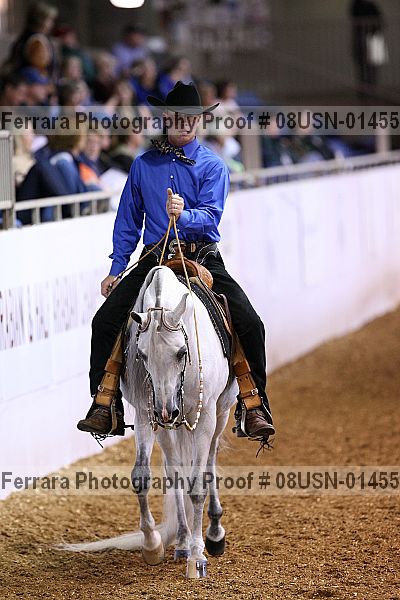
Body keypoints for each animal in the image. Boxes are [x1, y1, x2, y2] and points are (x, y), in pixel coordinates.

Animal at [61, 265, 237, 577]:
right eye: (141, 354)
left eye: (181, 352)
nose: (167, 411)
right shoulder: (146, 415)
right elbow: (143, 477)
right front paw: (153, 545)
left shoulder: (204, 416)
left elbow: (198, 485)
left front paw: (197, 556)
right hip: (168, 426)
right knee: (174, 469)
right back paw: (181, 542)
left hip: (220, 411)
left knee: (210, 461)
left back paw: (214, 534)